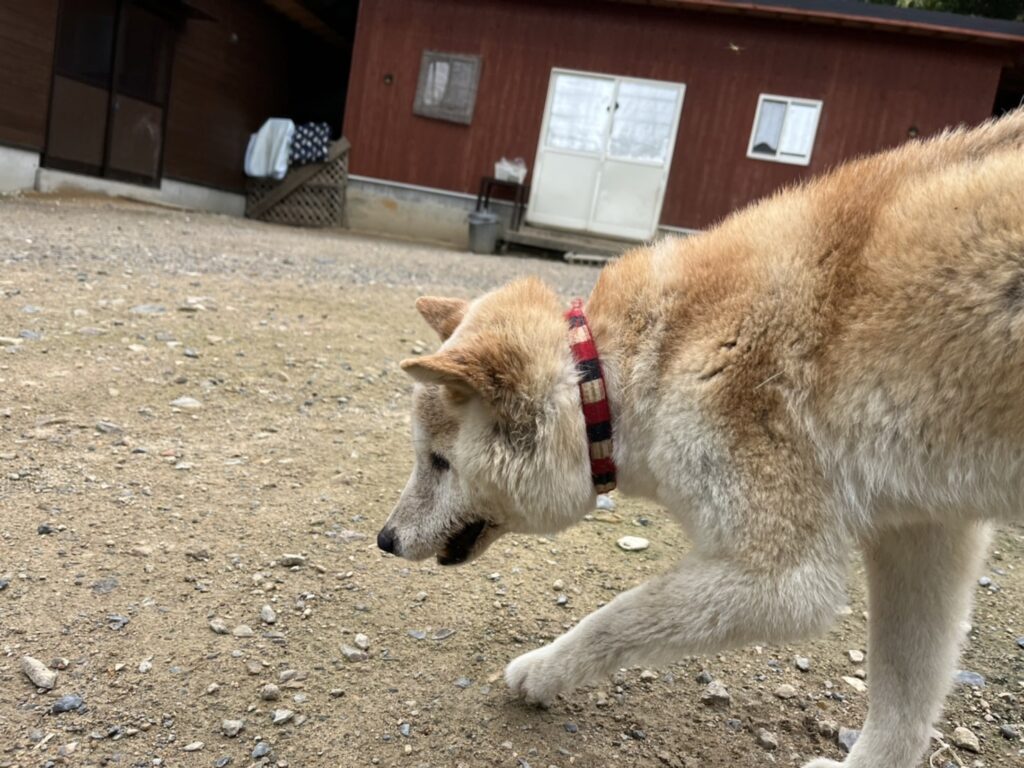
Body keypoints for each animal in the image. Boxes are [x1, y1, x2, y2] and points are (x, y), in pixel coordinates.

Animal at [378, 108, 1024, 768]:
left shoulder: (784, 577)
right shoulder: (924, 529)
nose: (384, 539)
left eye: (438, 461)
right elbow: (906, 684)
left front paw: (542, 671)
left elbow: (621, 614)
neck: (613, 378)